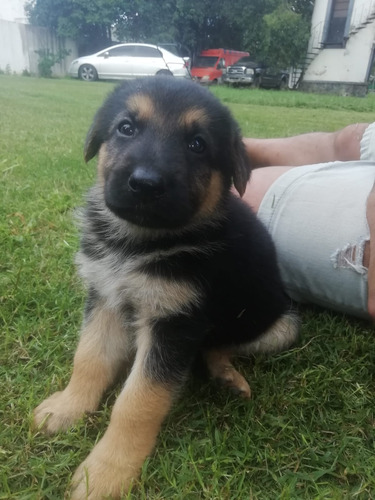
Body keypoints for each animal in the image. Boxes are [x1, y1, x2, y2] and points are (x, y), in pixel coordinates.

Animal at [33, 76, 300, 498]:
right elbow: (89, 359)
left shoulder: (174, 324)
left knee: (220, 344)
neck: (139, 243)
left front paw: (106, 471)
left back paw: (226, 374)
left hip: (283, 325)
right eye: (126, 128)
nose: (145, 184)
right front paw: (69, 407)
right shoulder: (105, 298)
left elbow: (138, 401)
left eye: (198, 144)